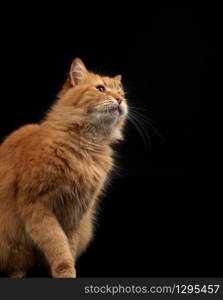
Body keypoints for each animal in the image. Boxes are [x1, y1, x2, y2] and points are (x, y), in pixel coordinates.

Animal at [0, 57, 127, 278]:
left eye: (120, 93)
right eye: (101, 89)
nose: (120, 100)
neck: (85, 147)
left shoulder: (76, 213)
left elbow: (69, 246)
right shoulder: (37, 207)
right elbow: (58, 247)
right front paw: (65, 272)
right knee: (17, 268)